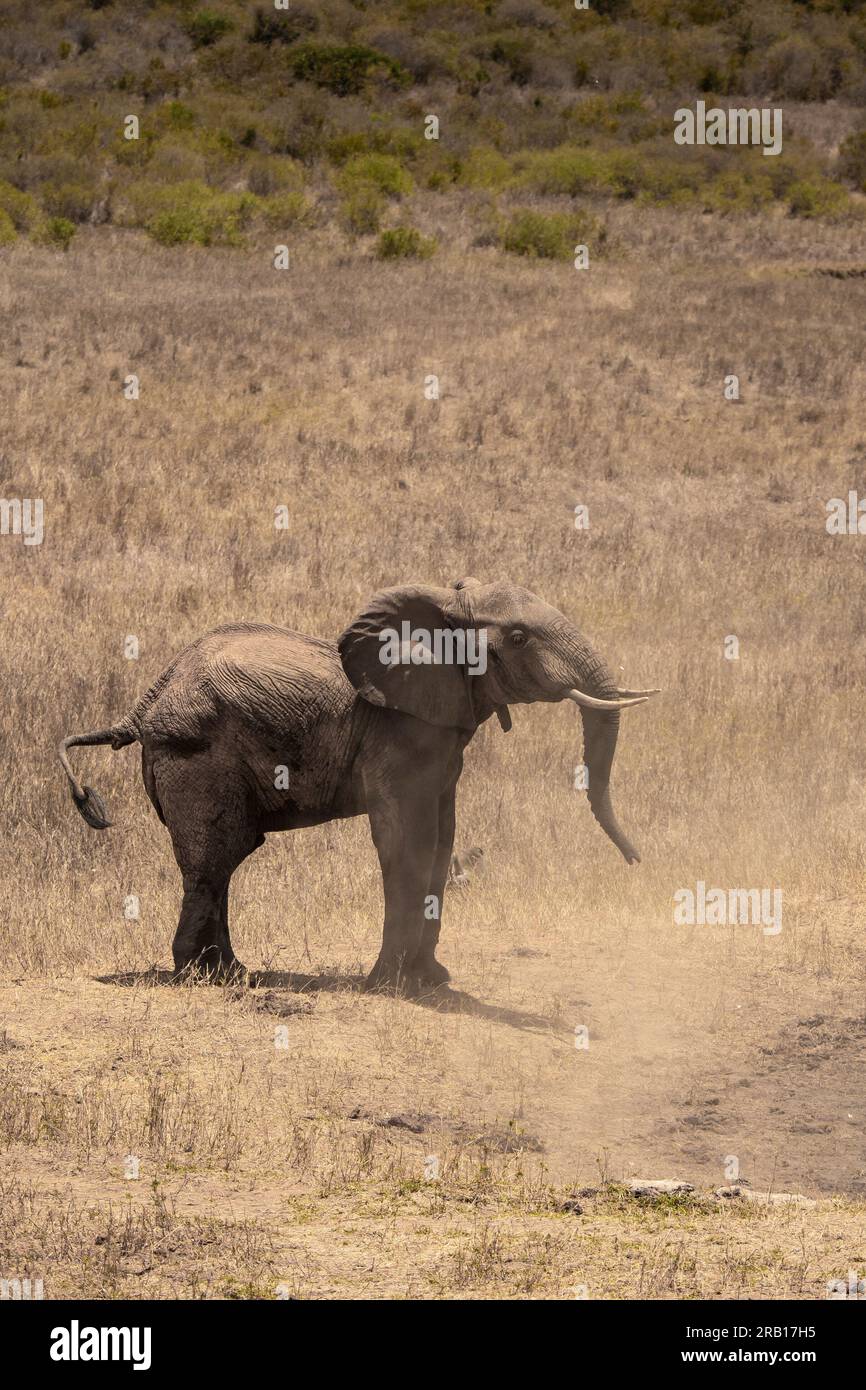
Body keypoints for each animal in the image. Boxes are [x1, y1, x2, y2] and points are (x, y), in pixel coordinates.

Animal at [59, 575, 656, 989]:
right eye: (517, 637)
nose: (637, 861)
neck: (440, 610)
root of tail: (145, 703)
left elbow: (443, 839)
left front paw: (432, 981)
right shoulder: (398, 735)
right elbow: (406, 840)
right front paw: (391, 986)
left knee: (224, 859)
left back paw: (233, 974)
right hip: (196, 754)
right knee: (212, 858)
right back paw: (202, 979)